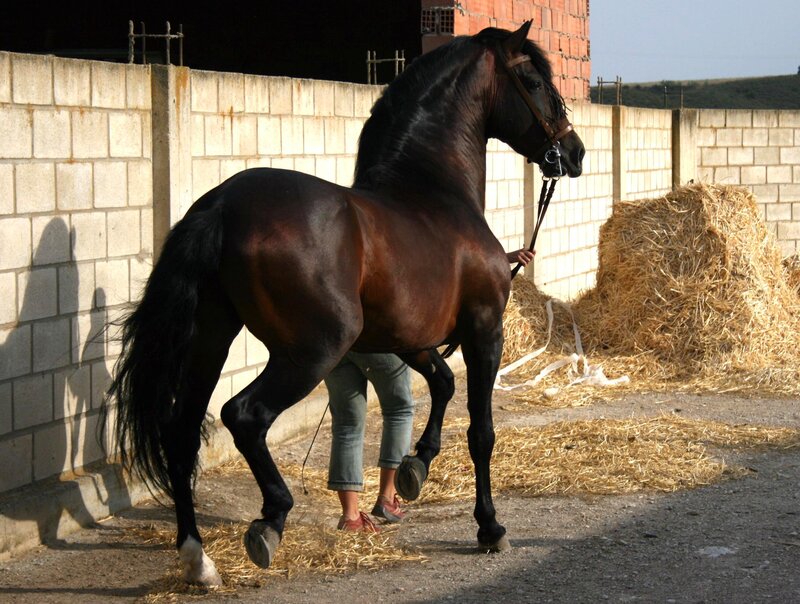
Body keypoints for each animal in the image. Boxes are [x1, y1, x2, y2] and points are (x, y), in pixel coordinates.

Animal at [107, 21, 584, 585]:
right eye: (532, 81)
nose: (573, 152)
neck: (436, 194)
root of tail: (221, 207)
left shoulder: (408, 339)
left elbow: (442, 385)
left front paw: (415, 467)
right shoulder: (484, 331)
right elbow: (480, 431)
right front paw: (489, 528)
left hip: (210, 342)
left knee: (181, 435)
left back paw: (197, 560)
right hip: (311, 352)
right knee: (243, 414)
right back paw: (270, 520)